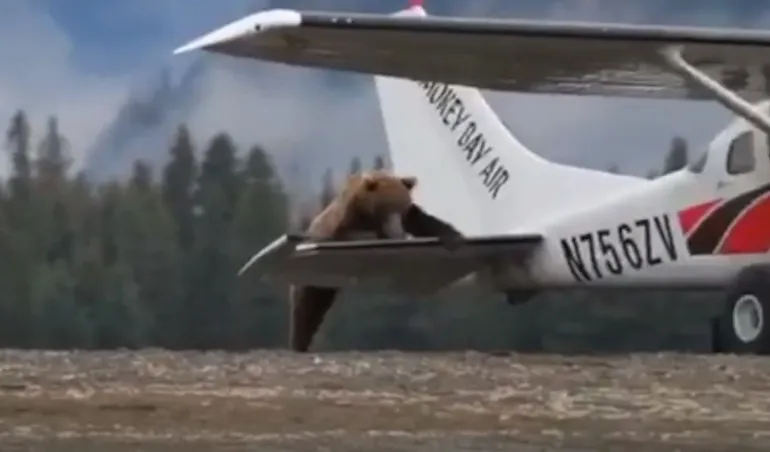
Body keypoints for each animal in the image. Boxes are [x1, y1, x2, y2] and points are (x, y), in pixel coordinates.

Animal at [289, 169, 463, 353]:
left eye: (401, 208)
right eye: (387, 207)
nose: (398, 234)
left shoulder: (407, 216)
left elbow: (423, 220)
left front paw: (453, 237)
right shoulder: (347, 223)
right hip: (307, 278)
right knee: (304, 310)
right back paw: (299, 344)